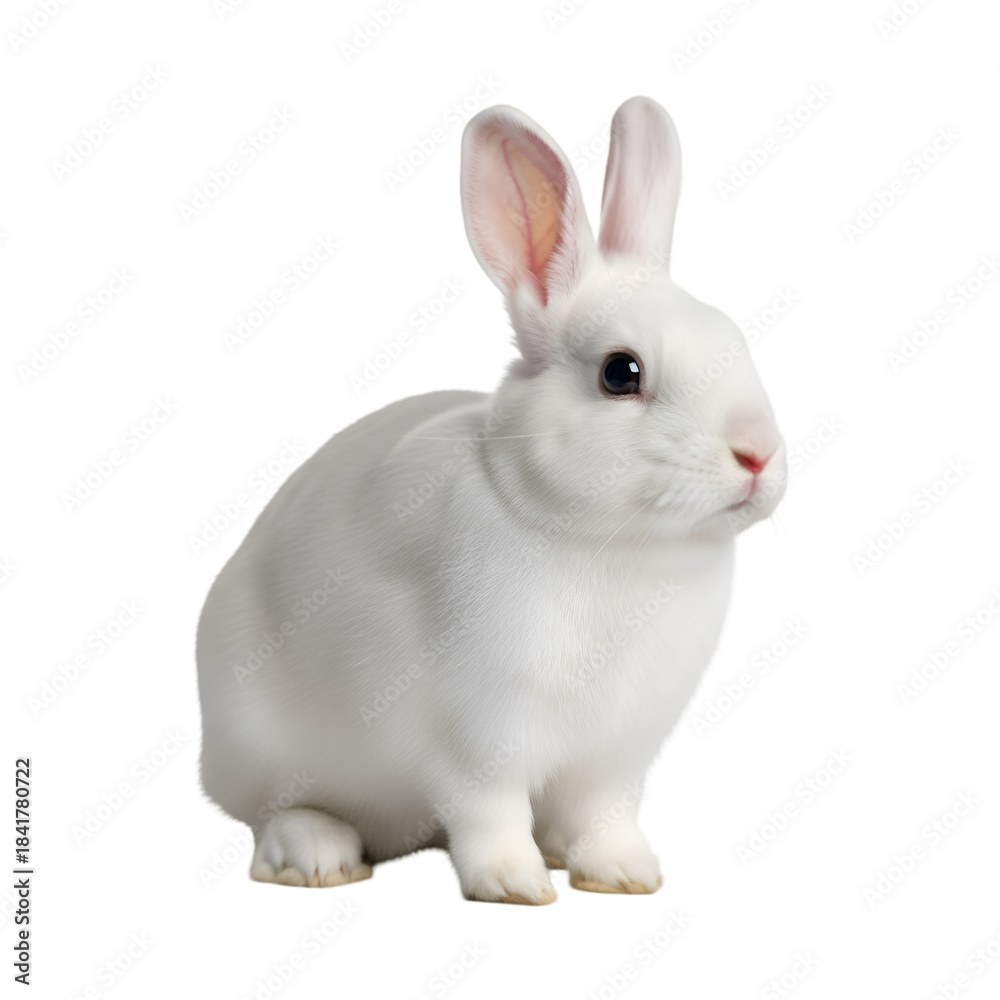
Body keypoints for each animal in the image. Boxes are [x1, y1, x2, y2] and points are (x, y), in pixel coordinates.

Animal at [195, 95, 787, 905]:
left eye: (738, 343)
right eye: (621, 372)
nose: (759, 454)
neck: (619, 546)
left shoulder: (616, 753)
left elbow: (606, 814)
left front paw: (624, 875)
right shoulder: (473, 737)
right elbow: (491, 810)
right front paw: (515, 884)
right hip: (261, 741)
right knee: (273, 810)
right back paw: (316, 858)